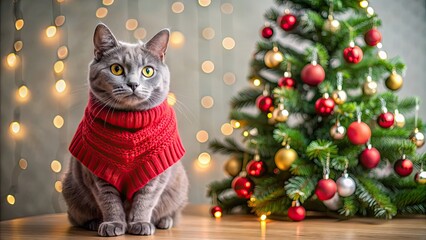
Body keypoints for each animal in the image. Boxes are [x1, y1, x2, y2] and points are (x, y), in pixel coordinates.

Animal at [62, 23, 188, 237]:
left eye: (148, 71)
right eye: (116, 68)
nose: (133, 84)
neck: (130, 121)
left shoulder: (156, 172)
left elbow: (145, 199)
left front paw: (140, 223)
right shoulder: (98, 172)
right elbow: (109, 201)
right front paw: (113, 224)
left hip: (180, 186)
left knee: (175, 213)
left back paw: (164, 221)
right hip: (71, 188)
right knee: (76, 217)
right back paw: (94, 223)